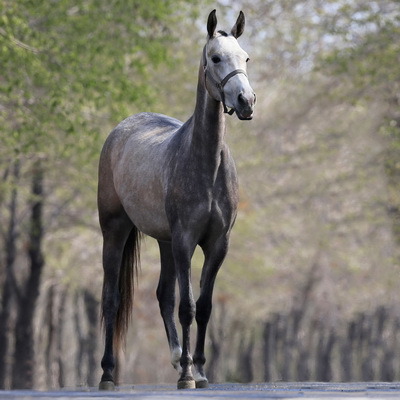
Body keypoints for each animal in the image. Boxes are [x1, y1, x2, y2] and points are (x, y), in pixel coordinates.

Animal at [98, 10, 256, 390]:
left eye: (245, 58)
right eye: (215, 58)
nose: (246, 101)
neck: (206, 165)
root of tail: (122, 129)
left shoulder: (216, 244)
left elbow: (205, 305)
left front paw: (198, 369)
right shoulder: (186, 241)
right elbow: (188, 308)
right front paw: (187, 375)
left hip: (164, 242)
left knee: (163, 295)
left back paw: (175, 357)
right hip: (115, 231)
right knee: (111, 299)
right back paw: (108, 373)